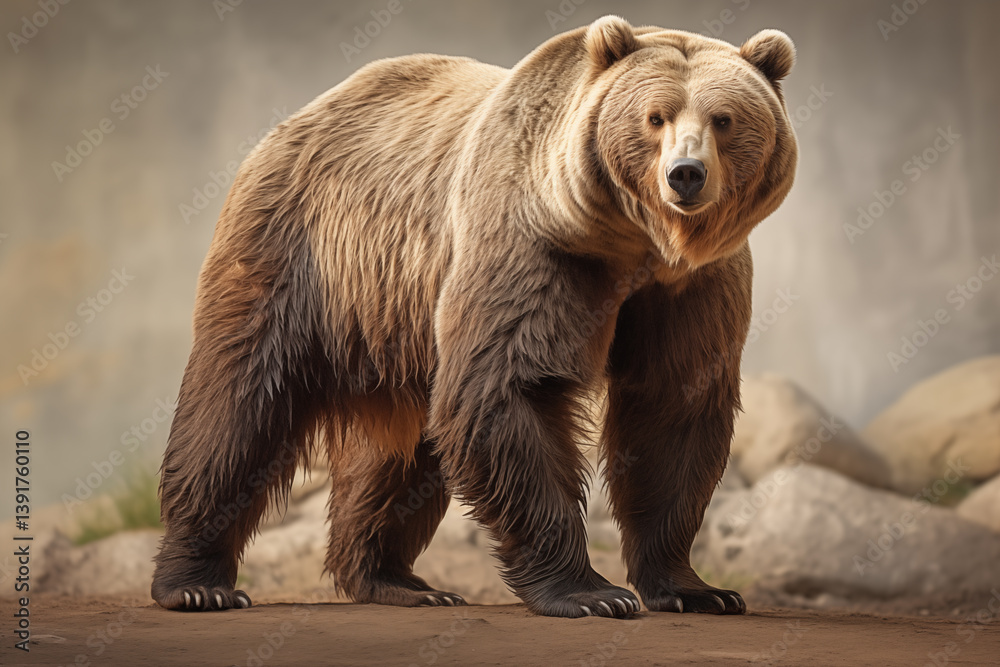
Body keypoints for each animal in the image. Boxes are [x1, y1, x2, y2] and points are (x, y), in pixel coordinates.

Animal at [152, 15, 797, 618]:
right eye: (655, 117)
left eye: (723, 119)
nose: (685, 174)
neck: (633, 242)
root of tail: (302, 116)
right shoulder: (533, 242)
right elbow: (509, 387)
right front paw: (592, 593)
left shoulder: (692, 286)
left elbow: (672, 405)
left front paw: (696, 589)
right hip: (303, 254)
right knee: (238, 405)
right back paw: (196, 582)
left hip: (398, 323)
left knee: (399, 456)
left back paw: (399, 581)